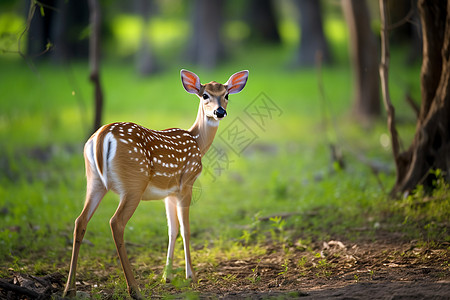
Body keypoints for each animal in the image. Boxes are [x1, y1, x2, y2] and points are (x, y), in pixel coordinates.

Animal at [61, 69, 248, 298]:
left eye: (226, 95)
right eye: (205, 95)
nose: (220, 111)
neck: (197, 142)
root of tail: (102, 136)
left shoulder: (168, 192)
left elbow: (172, 230)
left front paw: (166, 276)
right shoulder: (187, 183)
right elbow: (186, 229)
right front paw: (191, 276)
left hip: (94, 180)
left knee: (80, 221)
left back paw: (69, 289)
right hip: (134, 184)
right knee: (116, 222)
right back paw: (134, 289)